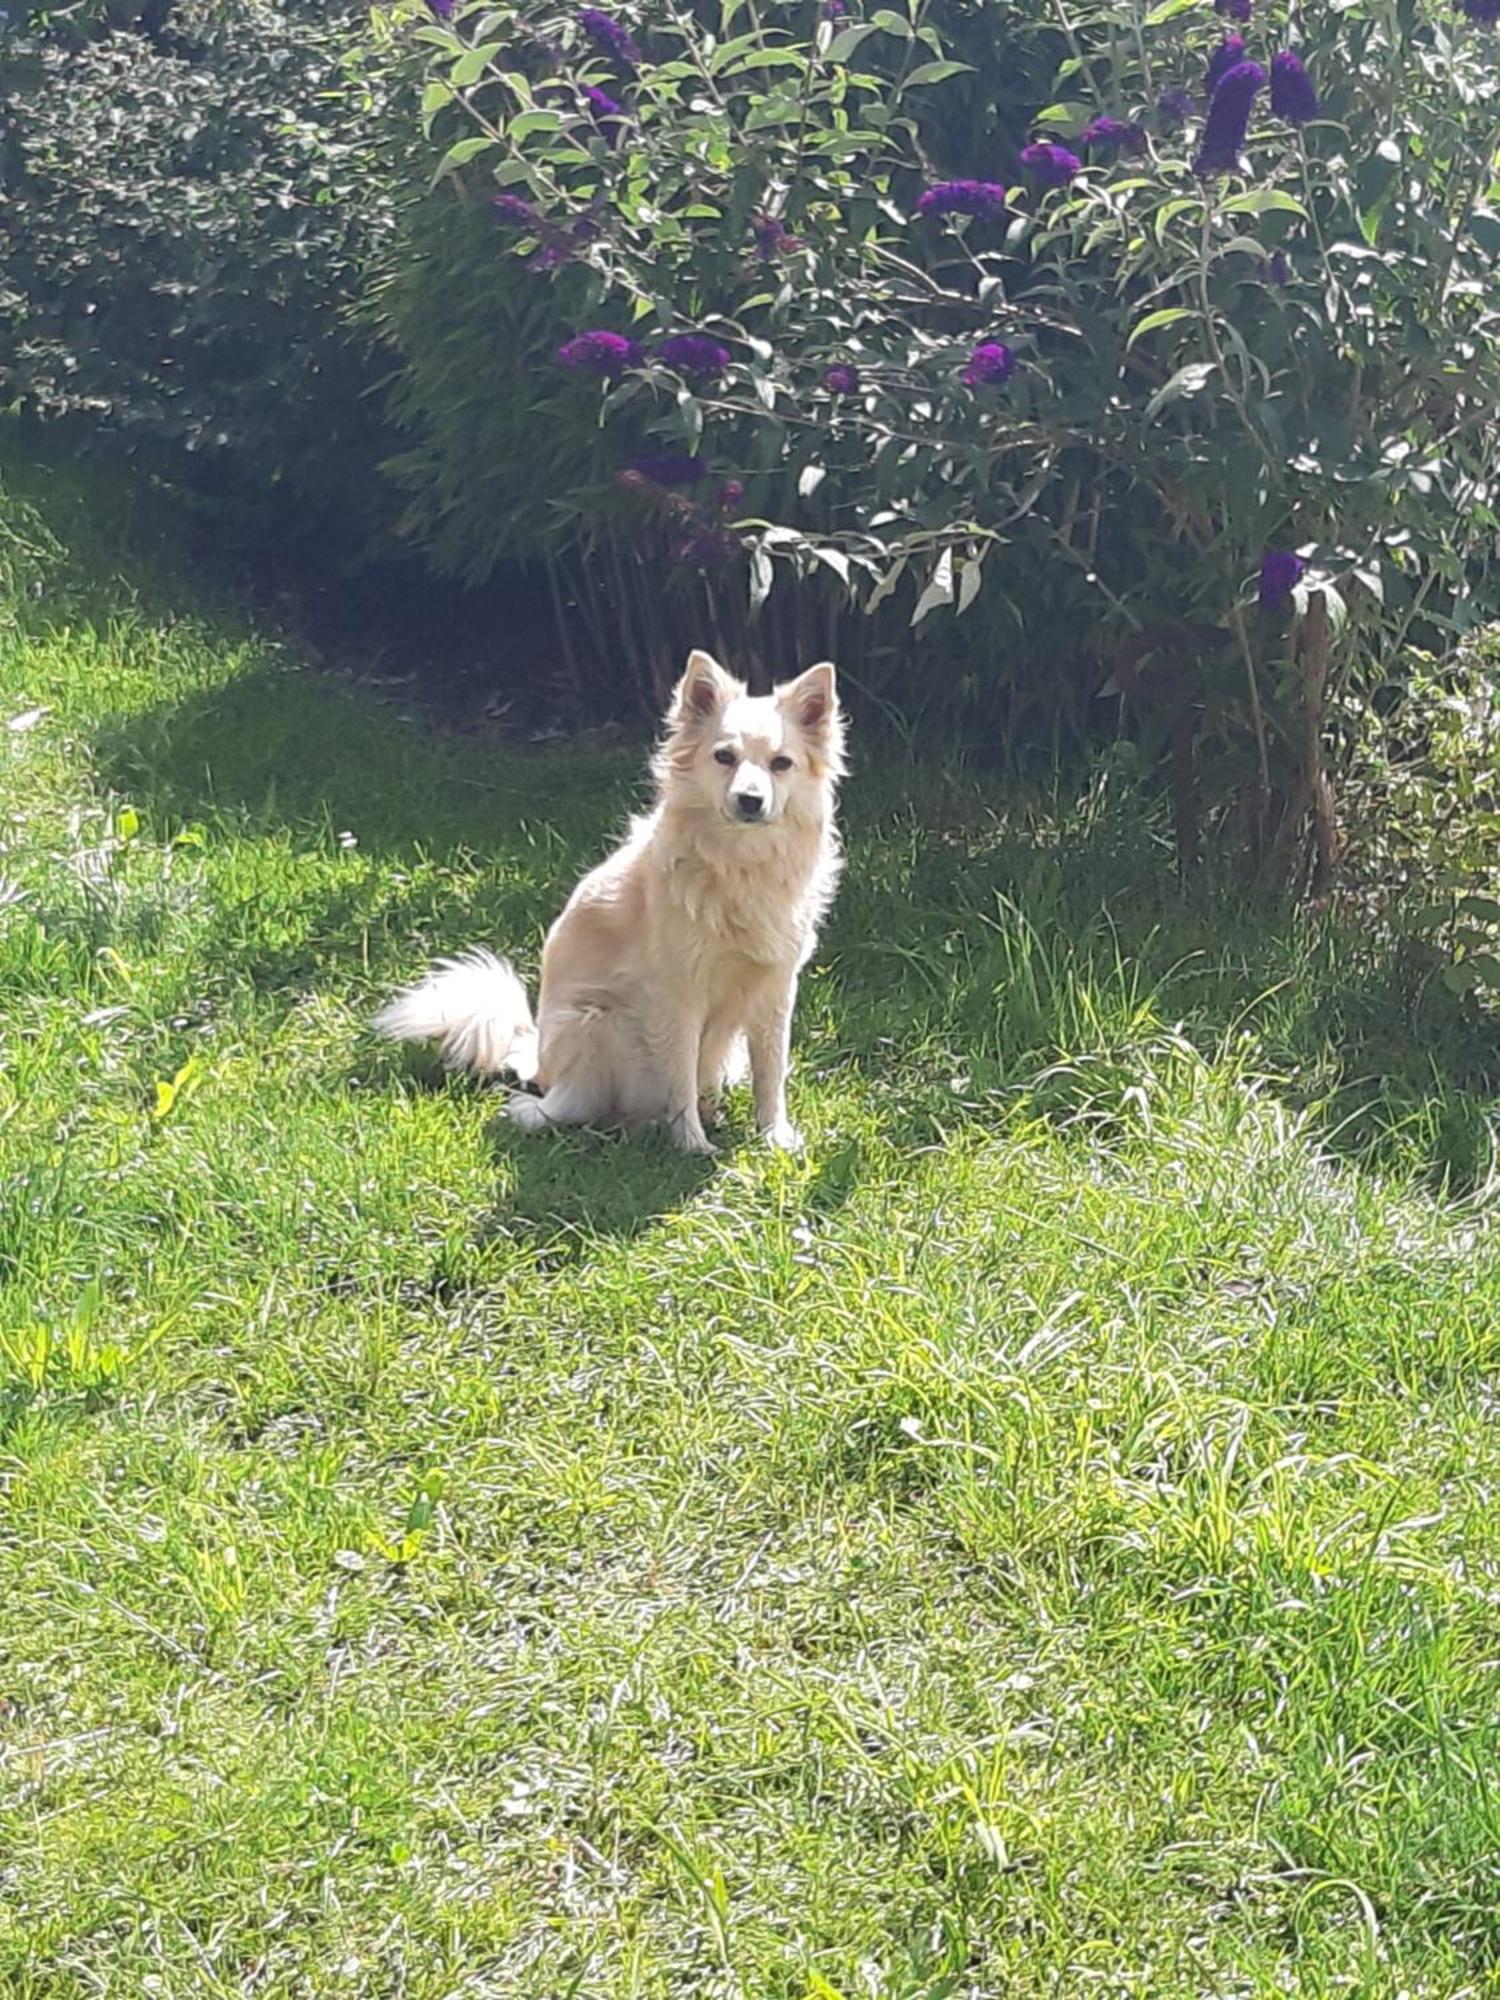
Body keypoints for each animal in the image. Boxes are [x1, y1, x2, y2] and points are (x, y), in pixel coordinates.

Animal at [376, 652, 848, 1160]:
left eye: (781, 764)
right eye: (724, 757)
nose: (750, 800)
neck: (739, 864)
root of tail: (537, 1060)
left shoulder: (776, 989)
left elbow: (771, 1072)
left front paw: (774, 1137)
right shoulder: (678, 997)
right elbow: (679, 1077)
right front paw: (690, 1145)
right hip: (599, 1024)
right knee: (565, 1108)